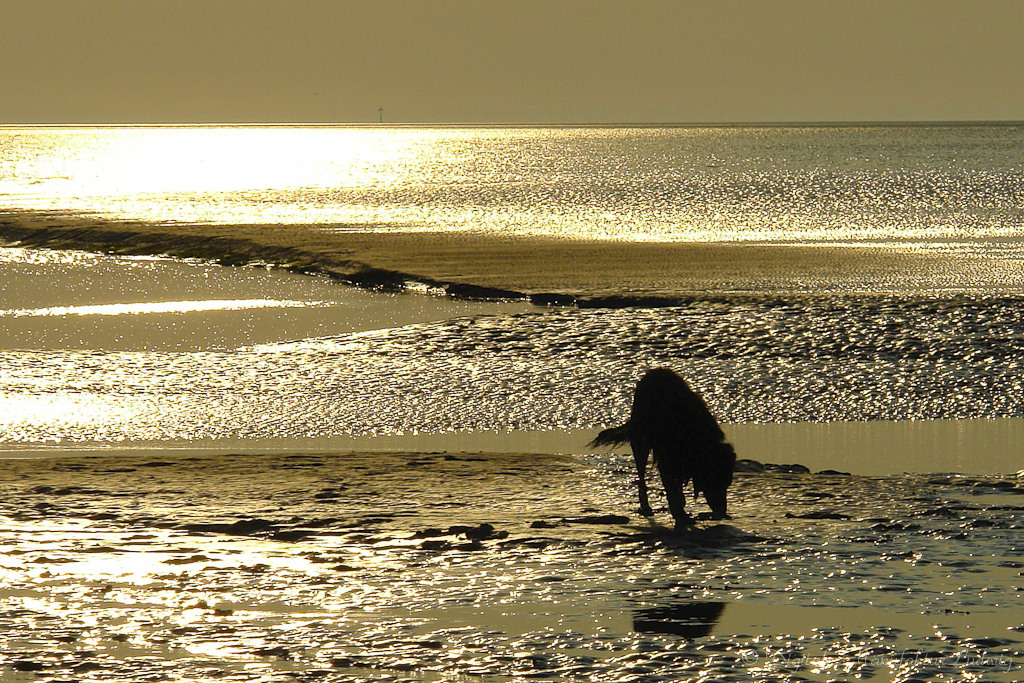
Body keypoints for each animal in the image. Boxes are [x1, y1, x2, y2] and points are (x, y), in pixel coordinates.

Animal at [593, 370, 737, 528]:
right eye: (714, 482)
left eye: (727, 485)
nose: (722, 512)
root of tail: (654, 371)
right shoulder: (666, 458)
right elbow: (671, 487)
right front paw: (679, 513)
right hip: (641, 441)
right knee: (641, 475)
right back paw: (646, 506)